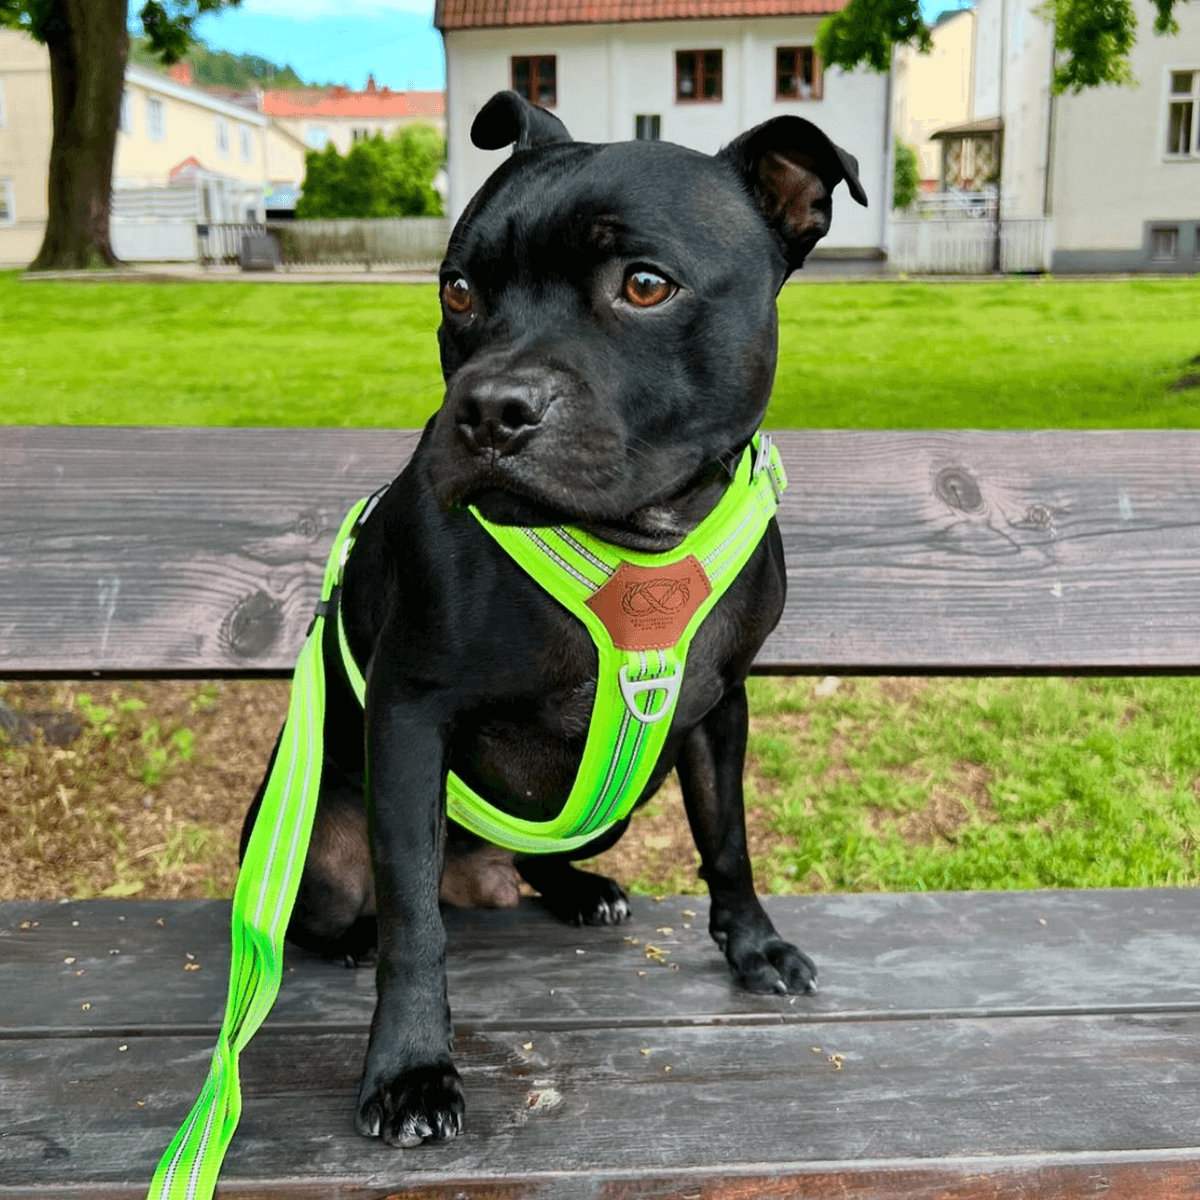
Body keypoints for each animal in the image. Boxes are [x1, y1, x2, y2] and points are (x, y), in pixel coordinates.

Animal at [241, 87, 864, 1152]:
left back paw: (578, 891)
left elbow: (728, 838)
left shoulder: (719, 709)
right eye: (456, 291)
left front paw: (754, 946)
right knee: (367, 905)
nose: (491, 408)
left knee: (537, 868)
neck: (637, 540)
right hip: (316, 840)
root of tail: (479, 874)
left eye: (646, 286)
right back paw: (359, 934)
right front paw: (411, 1070)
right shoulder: (409, 715)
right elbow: (414, 921)